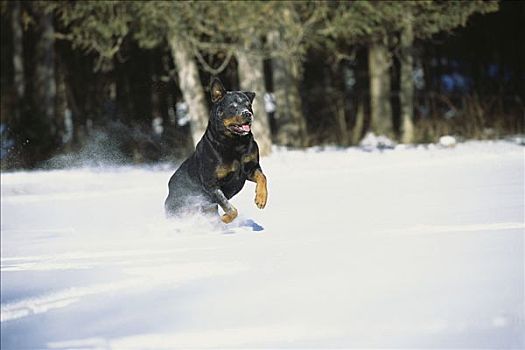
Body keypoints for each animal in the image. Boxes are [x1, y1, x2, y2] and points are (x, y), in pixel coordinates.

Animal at [164, 78, 268, 223]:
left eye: (248, 105)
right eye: (232, 106)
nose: (248, 114)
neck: (235, 144)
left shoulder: (250, 167)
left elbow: (262, 177)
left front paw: (261, 199)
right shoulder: (211, 183)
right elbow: (228, 206)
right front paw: (225, 219)